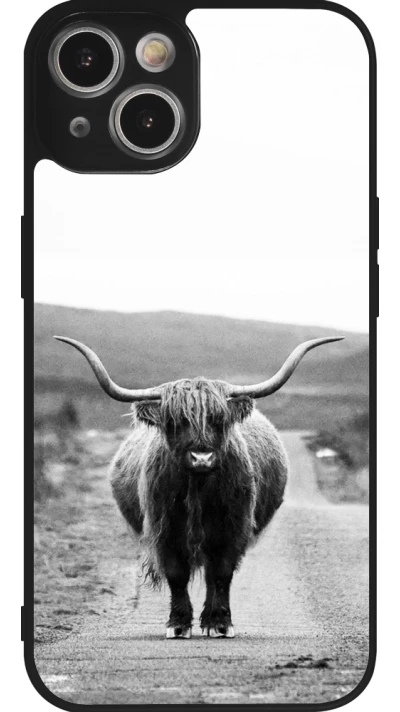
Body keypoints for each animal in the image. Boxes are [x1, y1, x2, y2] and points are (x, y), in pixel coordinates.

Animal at [55, 334, 342, 639]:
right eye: (175, 421)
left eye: (218, 419)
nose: (201, 457)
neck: (198, 489)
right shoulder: (164, 529)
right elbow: (177, 574)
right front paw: (178, 624)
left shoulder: (233, 528)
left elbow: (222, 574)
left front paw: (220, 622)